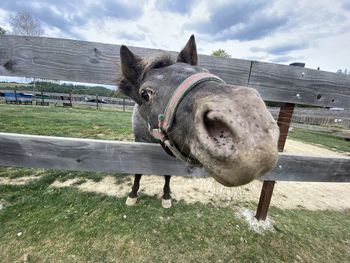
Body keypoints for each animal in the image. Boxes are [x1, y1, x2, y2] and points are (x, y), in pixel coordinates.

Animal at [117, 35, 278, 208]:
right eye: (145, 94)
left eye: (205, 72)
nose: (252, 134)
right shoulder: (139, 143)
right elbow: (138, 172)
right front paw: (132, 194)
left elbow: (167, 175)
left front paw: (166, 196)